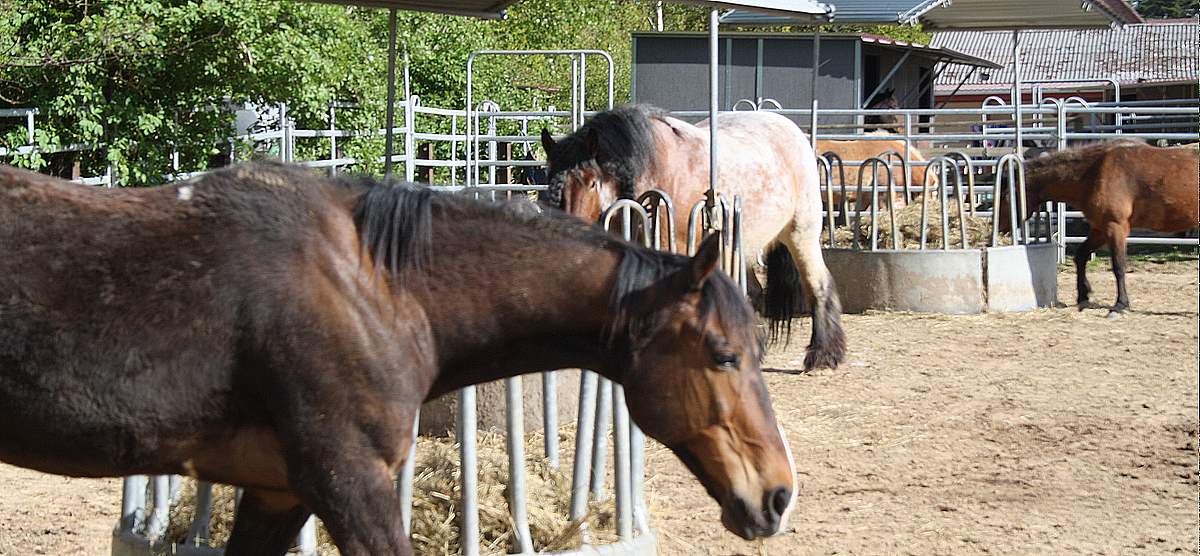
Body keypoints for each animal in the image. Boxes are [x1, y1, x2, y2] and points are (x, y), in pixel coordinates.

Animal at [540, 105, 849, 374]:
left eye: (591, 182)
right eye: (551, 180)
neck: (651, 170)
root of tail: (794, 132)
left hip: (801, 235)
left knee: (818, 285)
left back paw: (823, 355)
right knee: (752, 292)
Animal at [993, 141, 1200, 314]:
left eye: (1005, 196)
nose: (998, 227)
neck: (1093, 172)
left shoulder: (1115, 227)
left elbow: (1118, 266)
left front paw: (1120, 304)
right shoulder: (1099, 229)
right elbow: (1081, 256)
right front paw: (1083, 296)